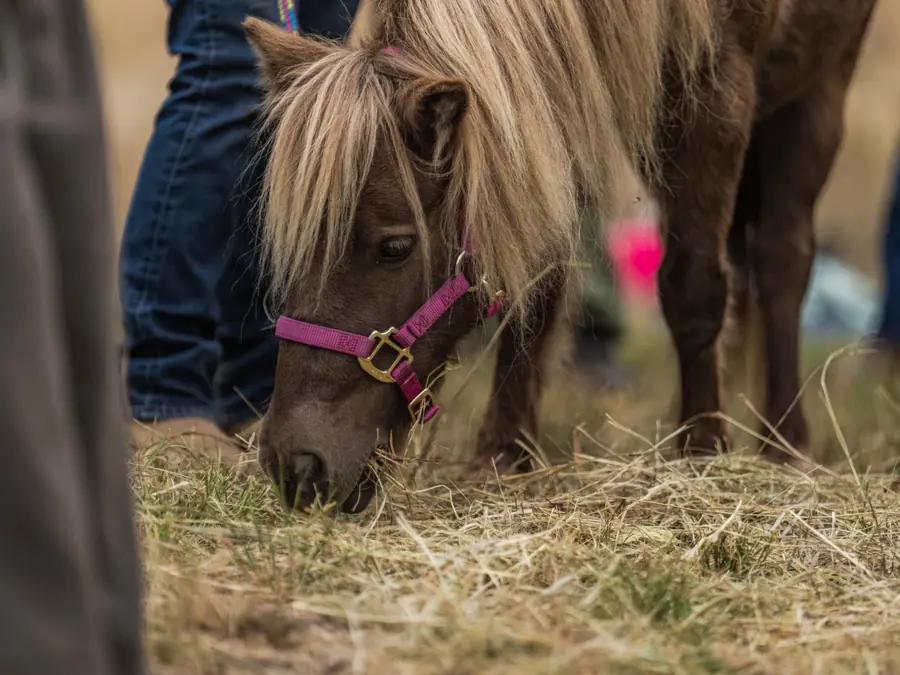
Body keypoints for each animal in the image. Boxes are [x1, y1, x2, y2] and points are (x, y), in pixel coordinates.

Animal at [241, 0, 878, 513]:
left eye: (395, 247)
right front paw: (503, 454)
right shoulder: (548, 100)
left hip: (819, 87)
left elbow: (694, 286)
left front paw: (701, 452)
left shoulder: (718, 90)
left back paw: (783, 443)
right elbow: (539, 273)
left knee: (782, 261)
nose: (295, 463)